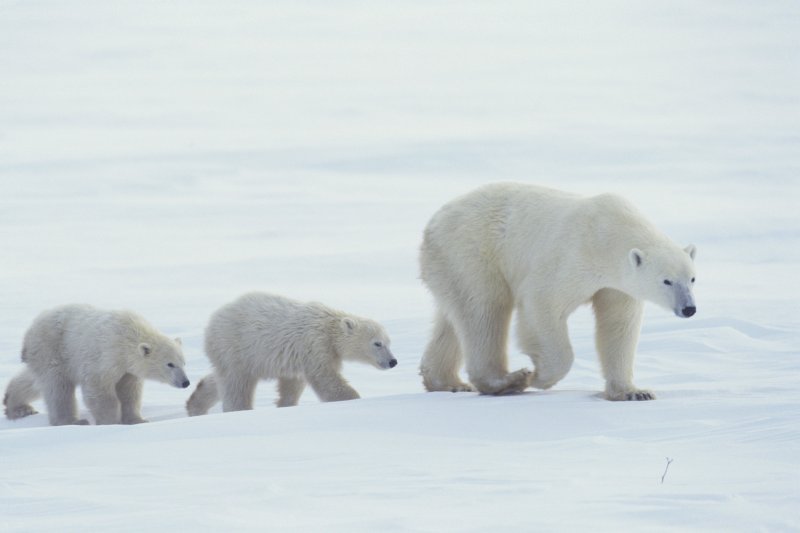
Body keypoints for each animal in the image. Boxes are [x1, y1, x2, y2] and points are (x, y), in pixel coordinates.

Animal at [3, 304, 190, 424]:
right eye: (170, 364)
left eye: (183, 362)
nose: (185, 382)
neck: (128, 334)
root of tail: (29, 332)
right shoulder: (105, 357)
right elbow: (99, 389)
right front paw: (110, 421)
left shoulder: (128, 369)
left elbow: (130, 392)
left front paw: (138, 420)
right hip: (53, 348)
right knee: (58, 388)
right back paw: (73, 421)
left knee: (35, 381)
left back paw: (16, 406)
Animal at [185, 294, 396, 414]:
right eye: (377, 343)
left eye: (389, 342)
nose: (393, 361)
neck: (328, 327)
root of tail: (211, 322)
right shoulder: (315, 345)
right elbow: (326, 378)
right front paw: (353, 399)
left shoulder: (300, 358)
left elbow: (292, 385)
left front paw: (285, 405)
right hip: (236, 345)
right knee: (236, 383)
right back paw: (239, 409)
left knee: (219, 378)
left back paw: (195, 405)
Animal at [418, 183, 692, 400]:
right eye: (667, 281)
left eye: (692, 278)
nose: (689, 308)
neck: (608, 233)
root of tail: (433, 223)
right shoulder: (572, 256)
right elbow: (542, 304)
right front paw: (538, 376)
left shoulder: (617, 286)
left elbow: (619, 326)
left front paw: (634, 392)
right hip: (472, 252)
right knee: (484, 310)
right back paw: (509, 380)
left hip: (451, 266)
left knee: (453, 319)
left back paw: (448, 382)